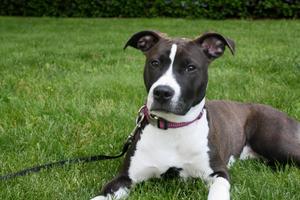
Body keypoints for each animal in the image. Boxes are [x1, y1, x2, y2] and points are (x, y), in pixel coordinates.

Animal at [91, 30, 300, 199]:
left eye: (190, 67)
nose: (162, 92)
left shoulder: (218, 172)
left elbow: (218, 190)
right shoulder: (125, 178)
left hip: (277, 142)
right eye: (155, 63)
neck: (173, 127)